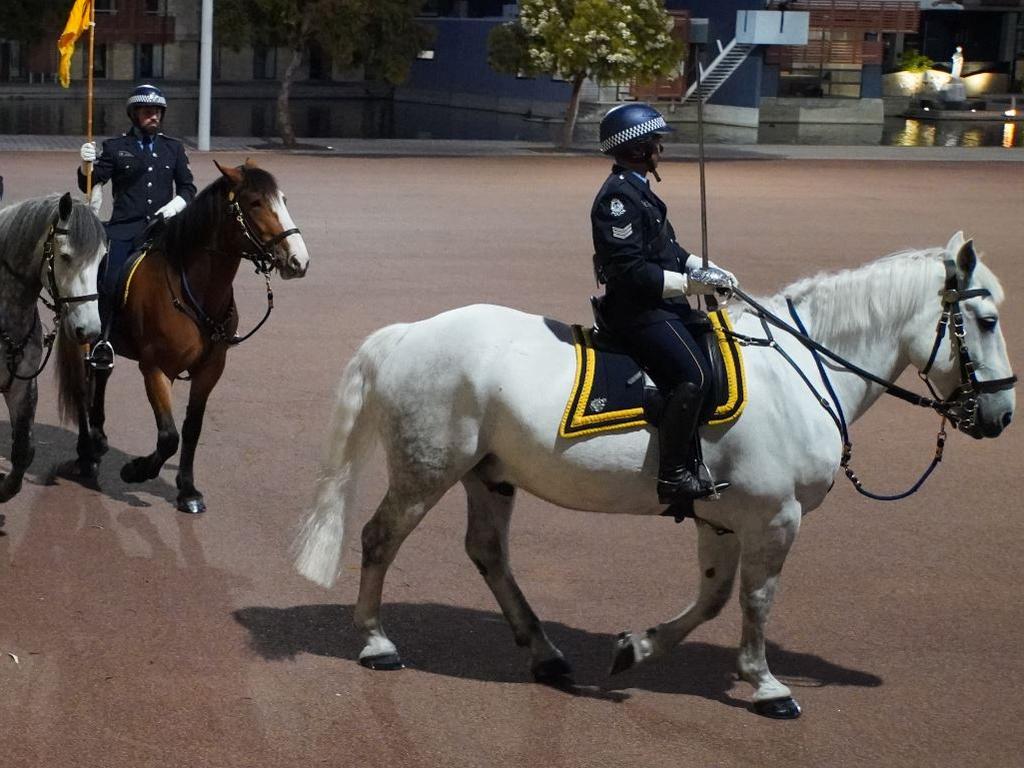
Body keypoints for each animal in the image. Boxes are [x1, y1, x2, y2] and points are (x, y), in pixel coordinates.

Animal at [75, 159, 309, 514]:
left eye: (283, 200)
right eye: (255, 202)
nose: (299, 259)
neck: (194, 289)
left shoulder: (210, 370)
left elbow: (191, 428)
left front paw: (187, 490)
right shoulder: (156, 368)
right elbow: (168, 436)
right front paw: (136, 470)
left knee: (99, 376)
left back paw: (98, 439)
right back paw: (86, 453)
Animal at [76, 85, 194, 368]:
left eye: (155, 111)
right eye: (146, 110)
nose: (153, 118)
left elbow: (187, 184)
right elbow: (96, 172)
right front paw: (87, 155)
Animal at [296, 231, 1015, 720]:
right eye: (986, 321)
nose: (1002, 414)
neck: (798, 371)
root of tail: (407, 333)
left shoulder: (722, 517)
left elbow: (712, 599)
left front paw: (636, 648)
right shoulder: (775, 517)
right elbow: (756, 600)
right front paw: (767, 685)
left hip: (488, 475)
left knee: (487, 552)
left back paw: (546, 654)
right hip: (428, 470)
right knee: (380, 539)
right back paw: (376, 642)